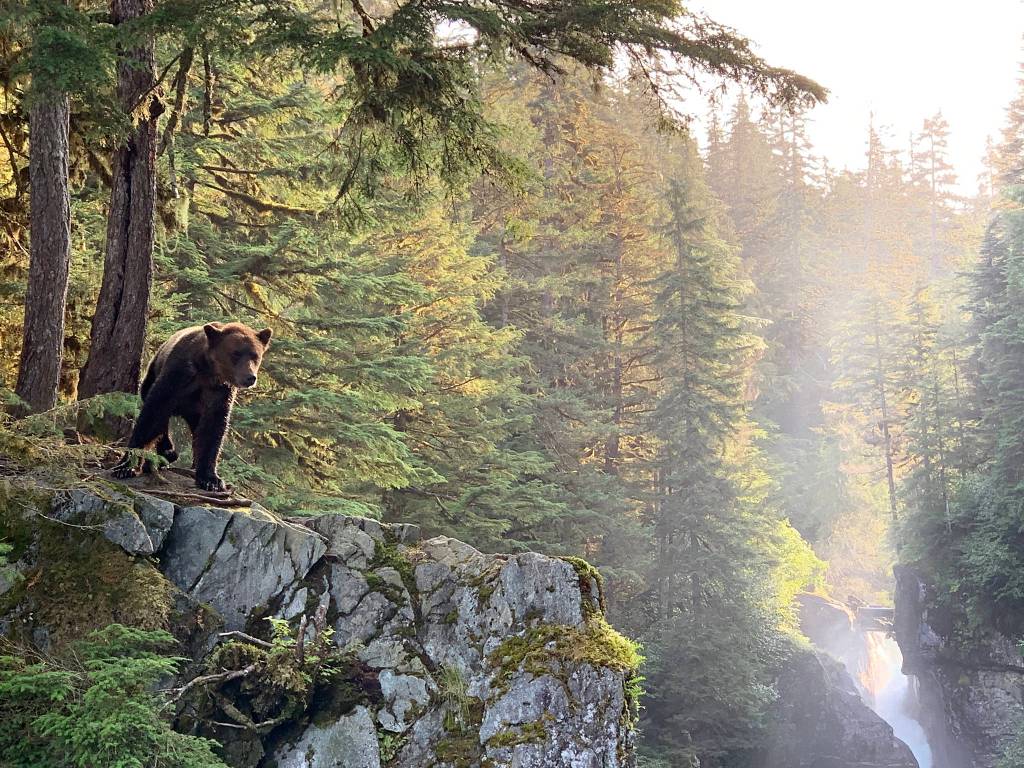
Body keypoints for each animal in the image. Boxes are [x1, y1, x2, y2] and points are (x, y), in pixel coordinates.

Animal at [112, 321, 272, 492]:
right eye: (235, 353)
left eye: (255, 355)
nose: (250, 377)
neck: (208, 370)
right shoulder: (178, 375)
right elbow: (153, 411)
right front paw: (125, 466)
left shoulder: (219, 391)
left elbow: (213, 428)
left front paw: (211, 479)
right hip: (152, 373)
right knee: (160, 418)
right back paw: (167, 452)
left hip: (194, 411)